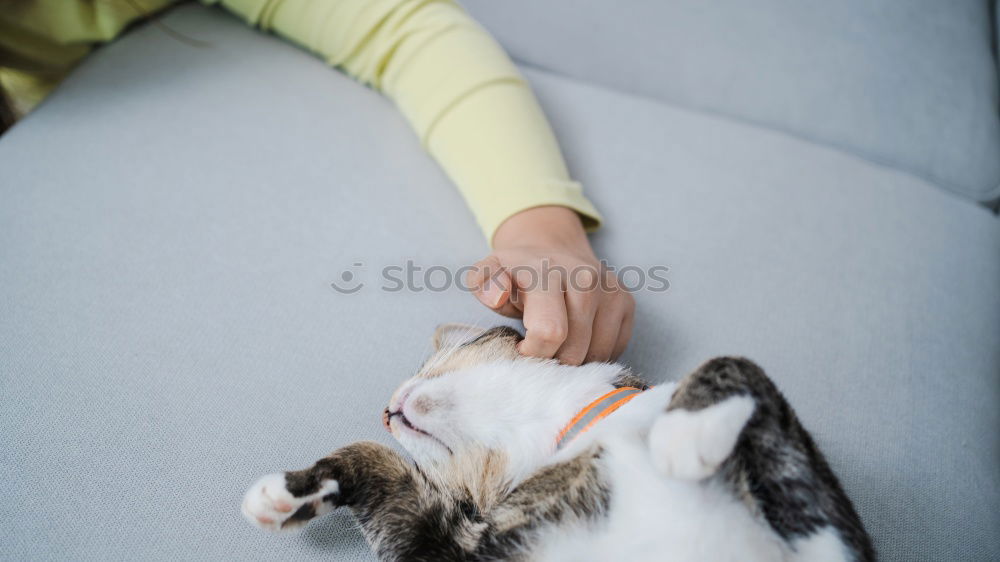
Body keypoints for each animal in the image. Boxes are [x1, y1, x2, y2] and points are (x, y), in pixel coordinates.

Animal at [242, 324, 876, 560]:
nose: (383, 407)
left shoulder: (831, 522)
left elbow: (735, 363)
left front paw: (685, 433)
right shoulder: (448, 546)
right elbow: (374, 461)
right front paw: (288, 493)